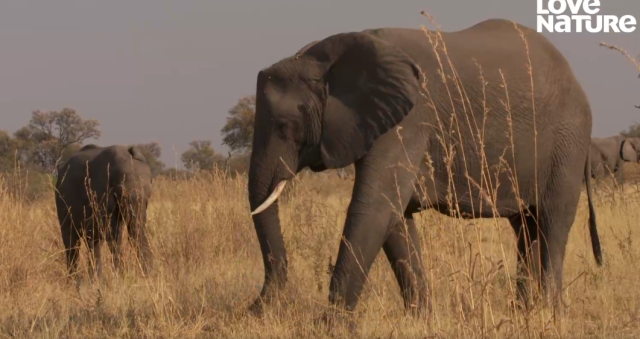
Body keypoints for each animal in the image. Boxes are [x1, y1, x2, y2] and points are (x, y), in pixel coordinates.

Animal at [54, 145, 154, 280]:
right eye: (121, 192)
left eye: (149, 194)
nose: (149, 274)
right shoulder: (101, 192)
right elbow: (113, 233)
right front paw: (120, 277)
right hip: (61, 200)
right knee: (71, 240)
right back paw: (73, 280)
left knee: (93, 241)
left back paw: (95, 280)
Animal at [244, 17, 600, 318]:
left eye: (284, 125)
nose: (253, 309)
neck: (322, 58)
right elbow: (395, 220)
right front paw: (421, 320)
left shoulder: (409, 121)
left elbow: (374, 208)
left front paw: (331, 327)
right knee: (526, 228)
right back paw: (524, 314)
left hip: (567, 142)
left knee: (552, 223)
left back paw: (552, 315)